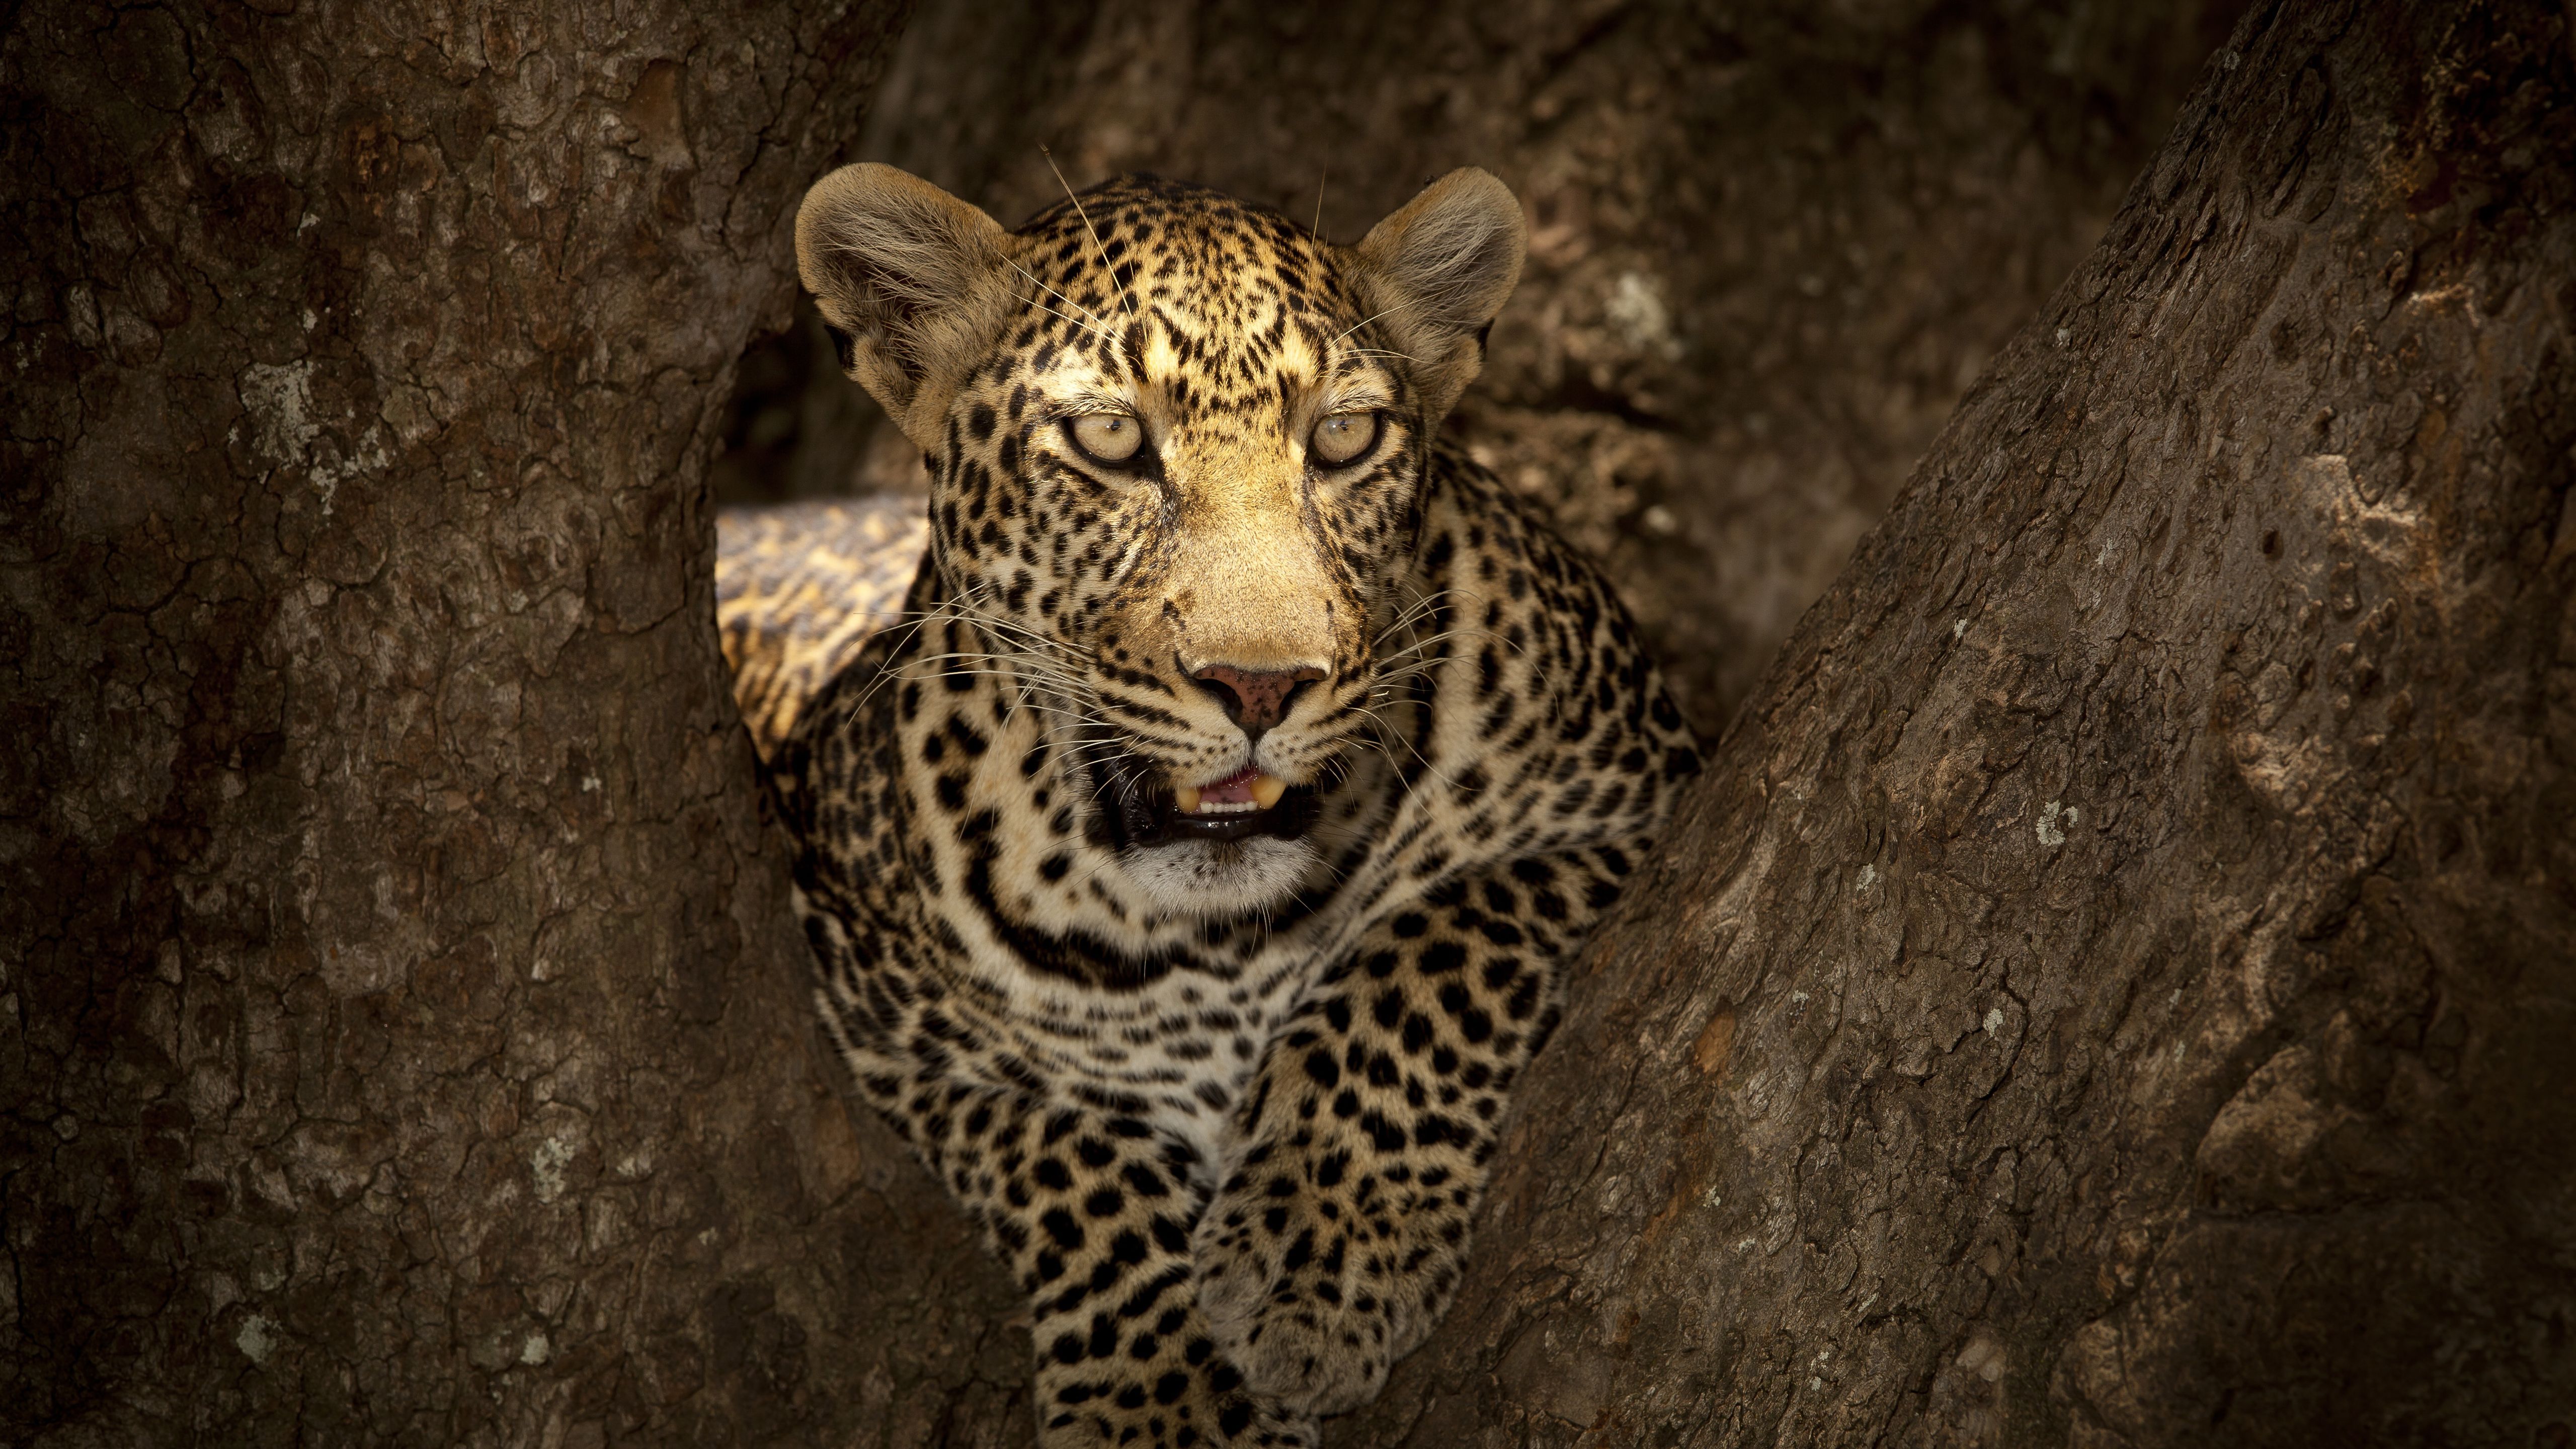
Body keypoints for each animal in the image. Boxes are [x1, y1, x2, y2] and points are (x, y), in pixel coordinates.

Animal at [716, 164, 1700, 1433]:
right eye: (1109, 439)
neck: (1214, 942)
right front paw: (1173, 1402)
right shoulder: (867, 1005)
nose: (1262, 683)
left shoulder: (1643, 797)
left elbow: (1436, 944)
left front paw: (1321, 1249)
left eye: (1342, 436)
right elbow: (1062, 1141)